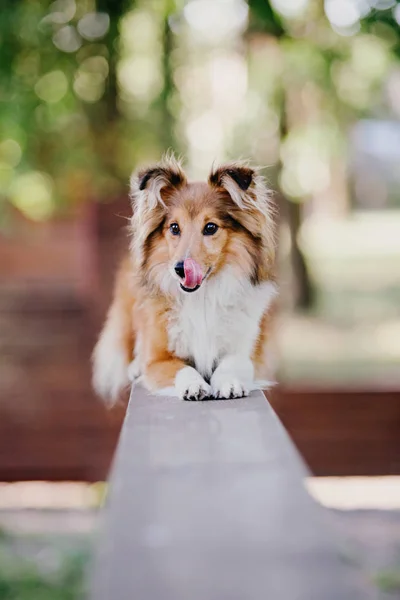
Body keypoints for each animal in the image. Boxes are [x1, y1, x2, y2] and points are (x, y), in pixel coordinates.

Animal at [92, 154, 276, 404]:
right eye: (174, 227)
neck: (202, 297)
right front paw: (193, 385)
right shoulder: (158, 359)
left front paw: (229, 382)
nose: (180, 269)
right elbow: (181, 368)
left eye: (210, 227)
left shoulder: (246, 351)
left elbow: (234, 363)